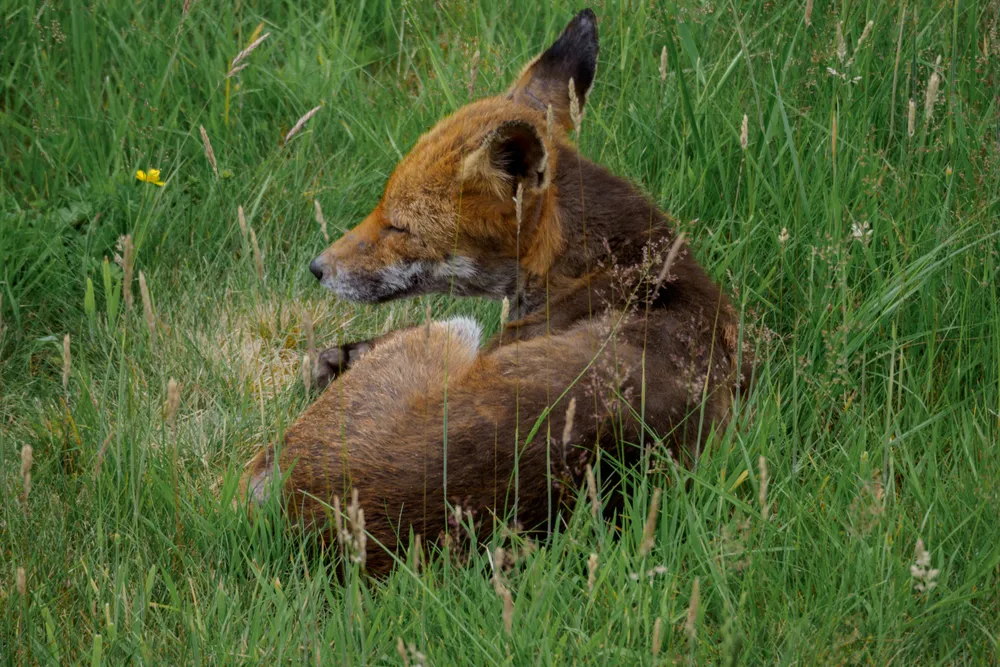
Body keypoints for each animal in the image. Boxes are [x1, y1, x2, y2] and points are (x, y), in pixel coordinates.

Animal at [242, 9, 753, 575]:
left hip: (454, 333)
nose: (317, 268)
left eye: (399, 226)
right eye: (381, 206)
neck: (630, 270)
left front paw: (333, 359)